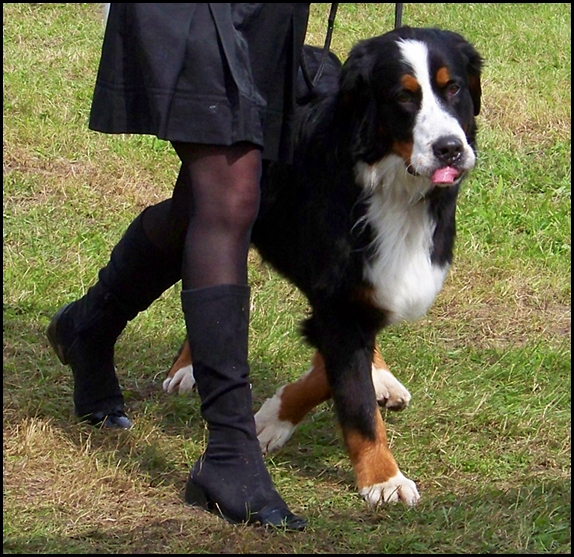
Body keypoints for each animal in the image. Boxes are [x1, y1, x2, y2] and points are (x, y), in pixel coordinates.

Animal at [164, 28, 484, 508]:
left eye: (454, 88)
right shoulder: (339, 302)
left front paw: (277, 416)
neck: (391, 188)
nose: (450, 148)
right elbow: (353, 397)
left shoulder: (377, 286)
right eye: (403, 97)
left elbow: (338, 374)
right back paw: (185, 367)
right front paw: (383, 478)